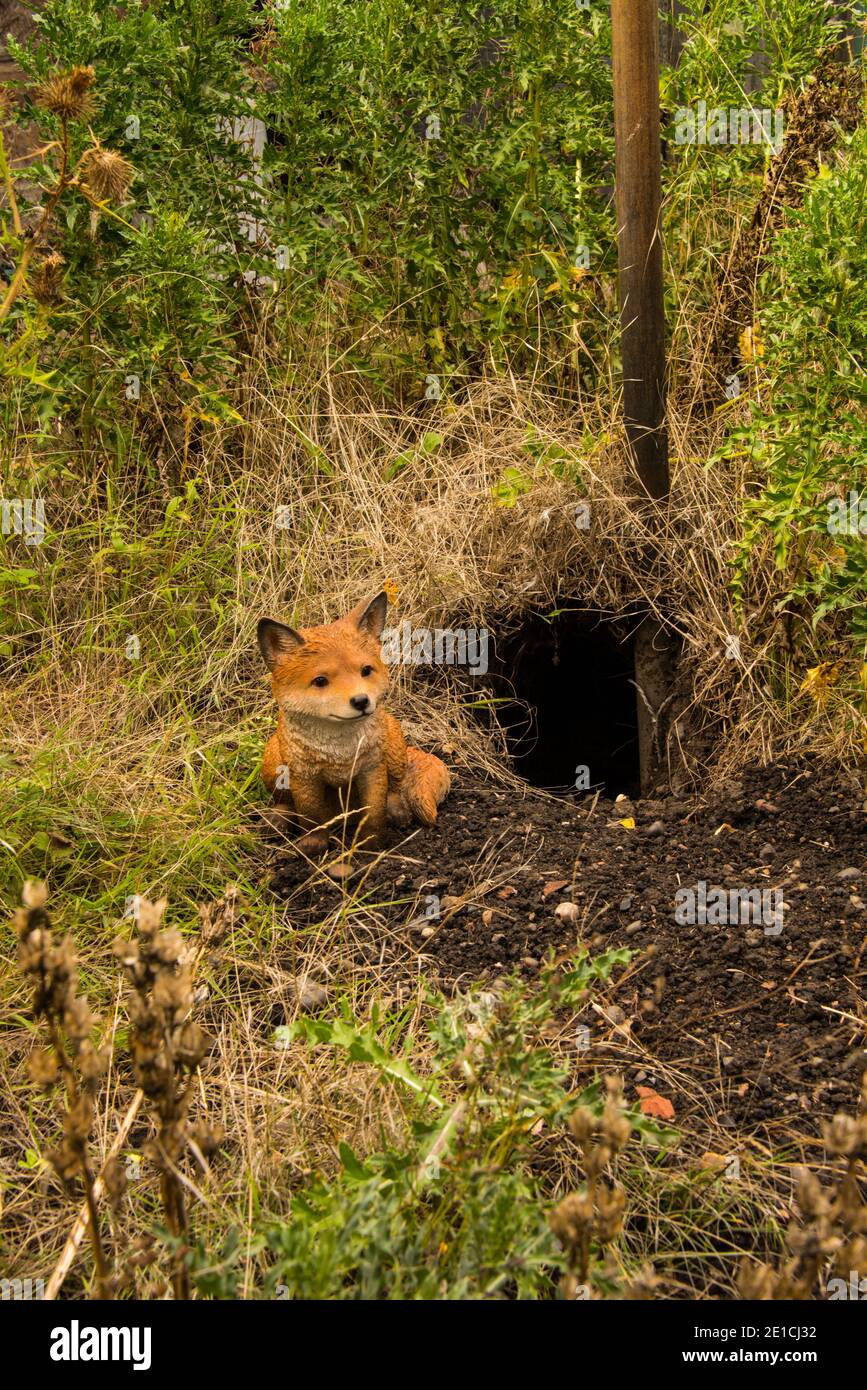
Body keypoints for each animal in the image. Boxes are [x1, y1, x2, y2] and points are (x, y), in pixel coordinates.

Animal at [258, 591, 451, 855]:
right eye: (320, 681)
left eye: (365, 670)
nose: (361, 701)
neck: (340, 753)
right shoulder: (304, 775)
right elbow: (310, 815)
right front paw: (314, 843)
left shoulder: (372, 768)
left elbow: (374, 811)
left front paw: (371, 844)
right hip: (273, 758)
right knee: (286, 802)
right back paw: (279, 819)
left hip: (394, 743)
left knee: (396, 789)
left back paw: (397, 812)